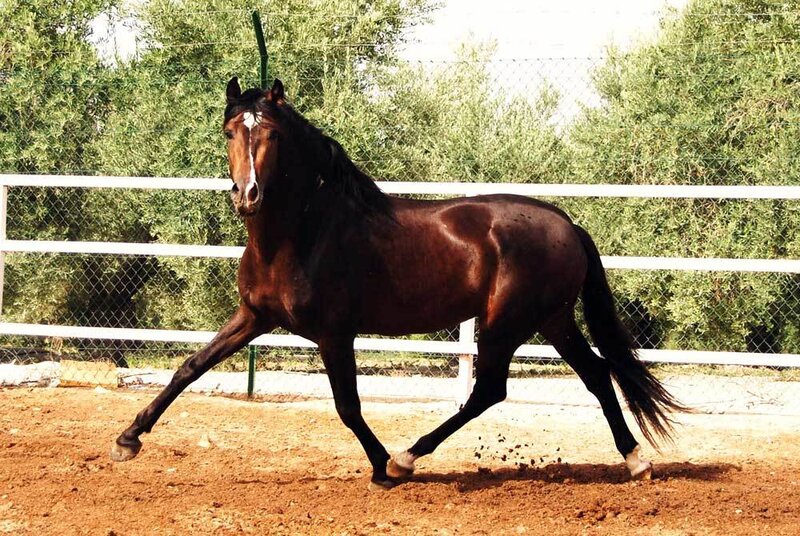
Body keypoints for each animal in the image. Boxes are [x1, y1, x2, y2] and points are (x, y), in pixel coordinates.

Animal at [111, 77, 684, 489]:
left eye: (270, 133)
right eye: (230, 131)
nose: (247, 195)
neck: (305, 232)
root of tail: (566, 223)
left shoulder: (334, 333)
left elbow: (348, 406)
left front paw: (381, 466)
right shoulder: (254, 316)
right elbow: (190, 366)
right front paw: (128, 439)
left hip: (507, 323)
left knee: (489, 390)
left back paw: (408, 458)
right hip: (553, 320)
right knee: (596, 375)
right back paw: (636, 462)